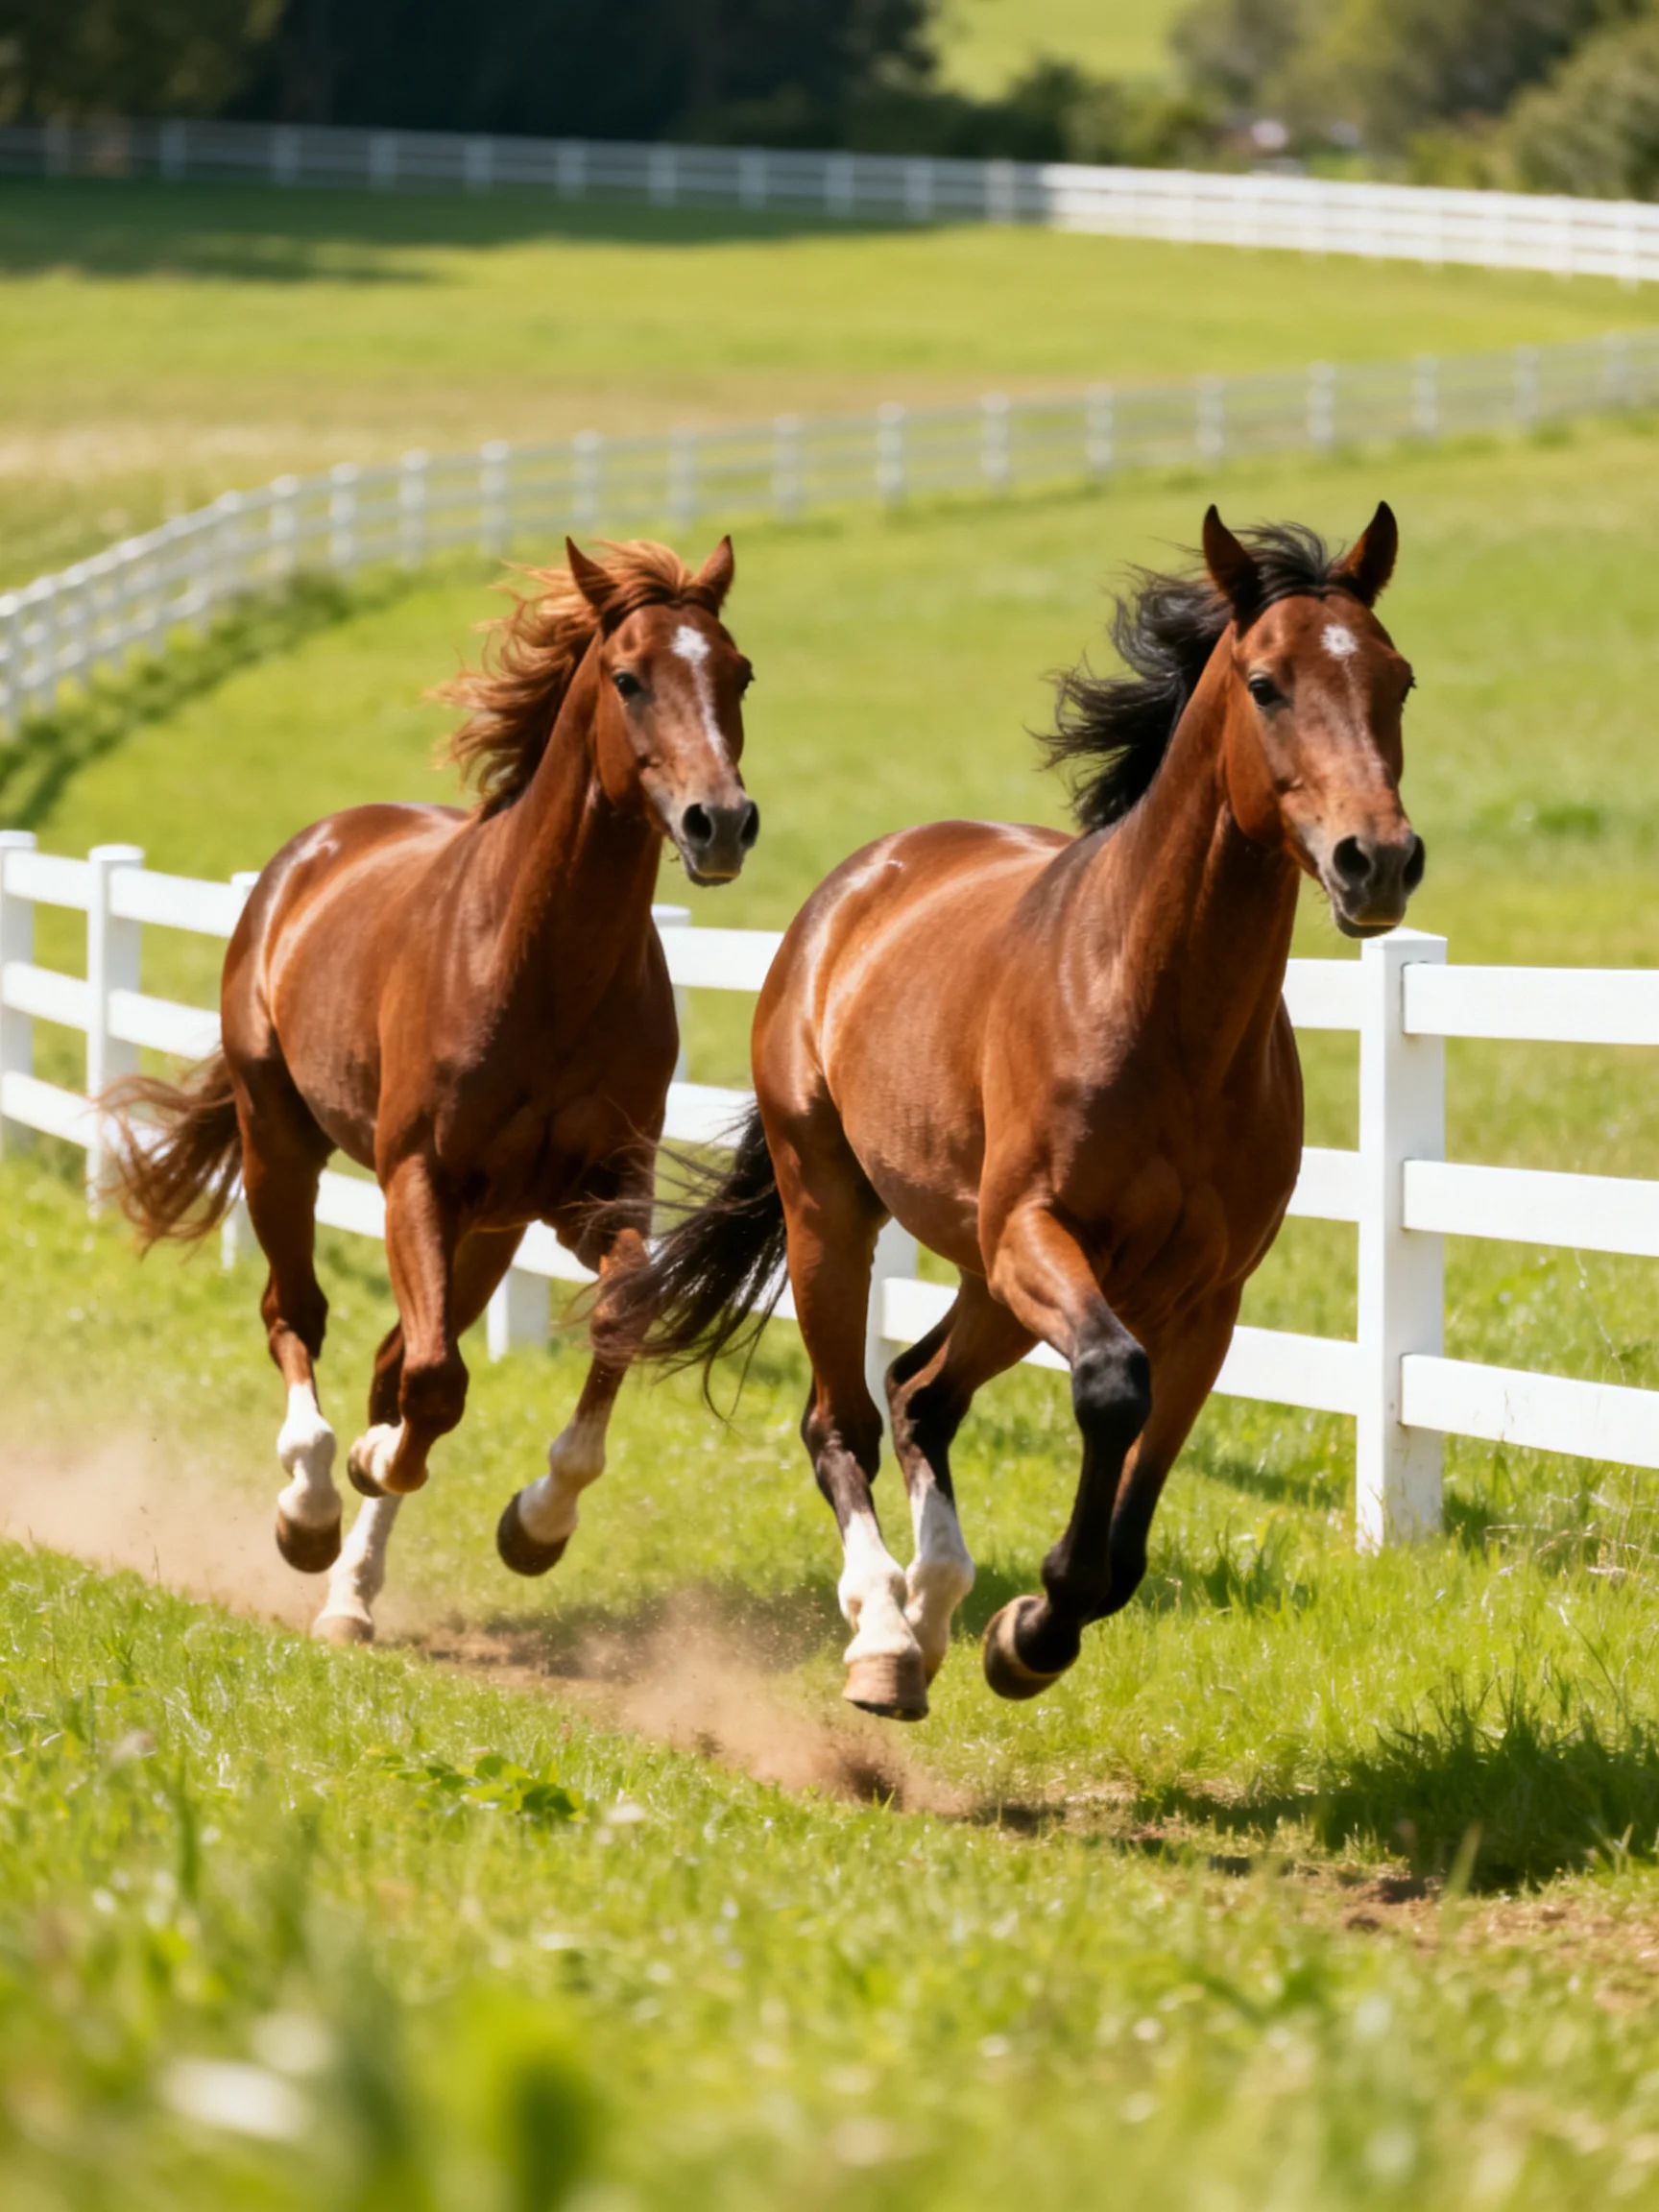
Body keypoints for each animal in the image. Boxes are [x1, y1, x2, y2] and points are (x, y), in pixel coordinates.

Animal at [108, 535, 760, 1645]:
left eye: (739, 675)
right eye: (629, 678)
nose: (720, 823)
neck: (542, 968)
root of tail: (308, 855)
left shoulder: (593, 1196)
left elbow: (613, 1319)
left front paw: (537, 1523)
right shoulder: (417, 1176)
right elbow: (432, 1380)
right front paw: (361, 1476)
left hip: (489, 1232)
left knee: (384, 1355)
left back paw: (352, 1597)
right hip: (281, 1145)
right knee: (299, 1315)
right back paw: (311, 1511)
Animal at [611, 505, 1422, 1721]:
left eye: (1397, 680)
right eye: (1267, 684)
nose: (1378, 861)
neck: (1162, 1015)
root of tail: (851, 889)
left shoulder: (1208, 1301)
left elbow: (1129, 1523)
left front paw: (1020, 1634)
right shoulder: (1041, 1234)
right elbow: (1110, 1387)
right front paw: (1032, 1626)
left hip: (987, 1276)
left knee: (920, 1394)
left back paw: (934, 1615)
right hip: (842, 1217)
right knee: (844, 1418)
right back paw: (884, 1639)